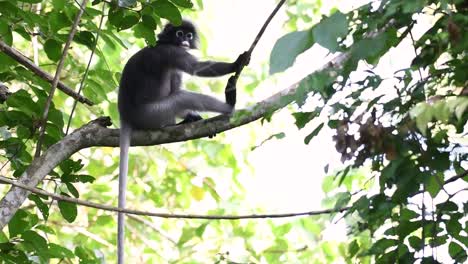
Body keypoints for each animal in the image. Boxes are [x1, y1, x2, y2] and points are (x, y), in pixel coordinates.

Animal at [117, 19, 249, 262]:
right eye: (179, 34)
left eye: (188, 35)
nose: (185, 40)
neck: (162, 42)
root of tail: (125, 114)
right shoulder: (172, 52)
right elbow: (197, 69)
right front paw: (237, 63)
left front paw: (192, 117)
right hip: (152, 114)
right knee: (181, 96)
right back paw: (229, 106)